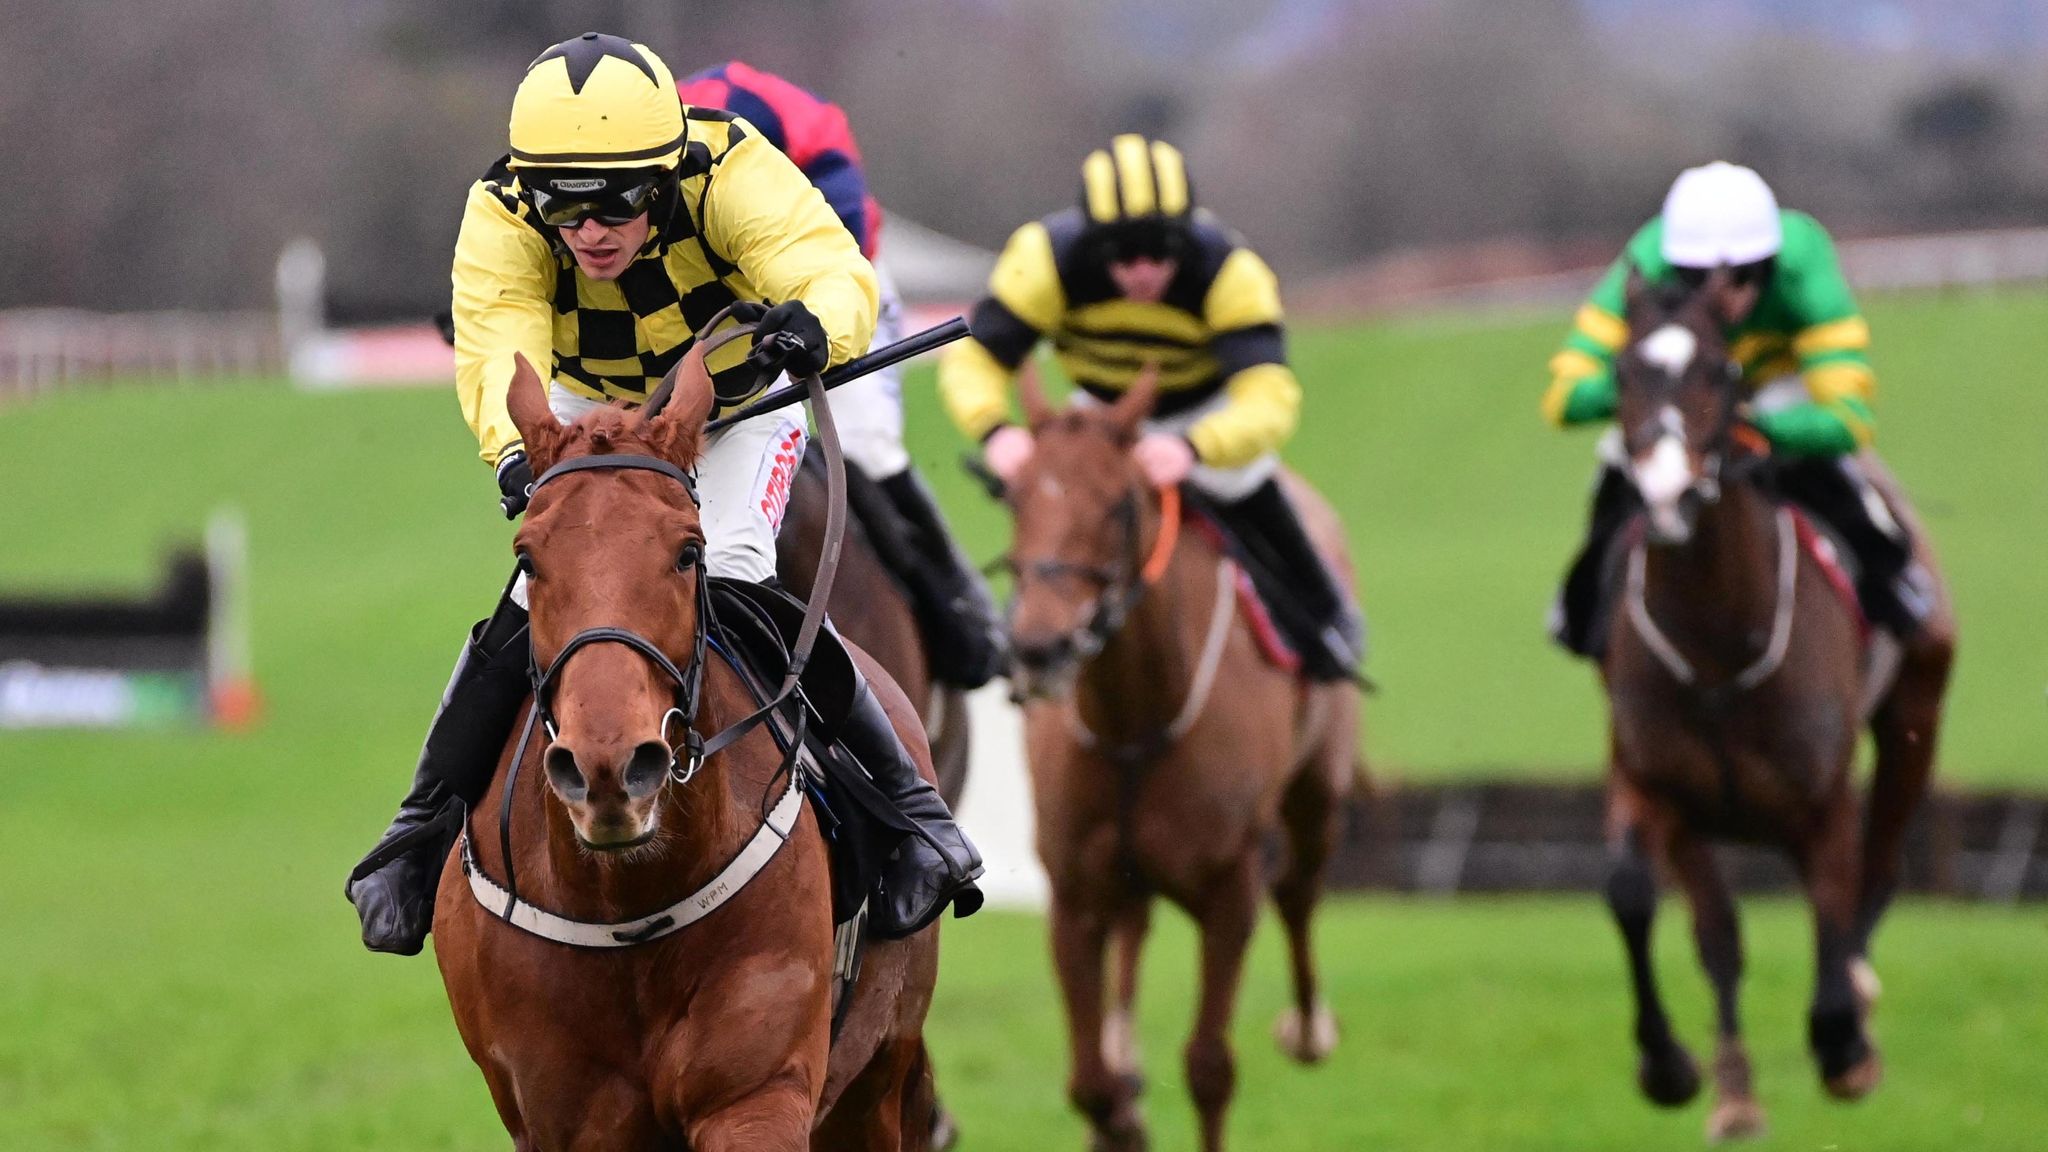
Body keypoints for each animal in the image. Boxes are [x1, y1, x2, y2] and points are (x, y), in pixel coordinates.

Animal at [438, 348, 942, 1147]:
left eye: (687, 550)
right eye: (529, 556)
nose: (609, 771)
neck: (629, 901)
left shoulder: (756, 1094)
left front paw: (797, 334)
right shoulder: (565, 1119)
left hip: (876, 1078)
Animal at [1003, 362, 1359, 1147]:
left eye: (1118, 505)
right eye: (1014, 496)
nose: (1040, 647)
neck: (1136, 717)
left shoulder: (1231, 886)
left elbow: (1209, 1066)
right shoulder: (1074, 893)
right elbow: (1088, 1086)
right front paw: (1120, 1112)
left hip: (1318, 791)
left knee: (1300, 892)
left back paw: (1309, 1028)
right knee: (1134, 934)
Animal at [1597, 270, 1949, 1139]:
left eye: (1721, 372)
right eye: (1622, 372)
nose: (1666, 491)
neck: (1718, 645)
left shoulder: (1820, 800)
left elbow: (1833, 901)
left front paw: (1844, 1045)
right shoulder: (1657, 786)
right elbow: (1655, 906)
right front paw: (1684, 1072)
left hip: (1916, 709)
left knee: (1879, 863)